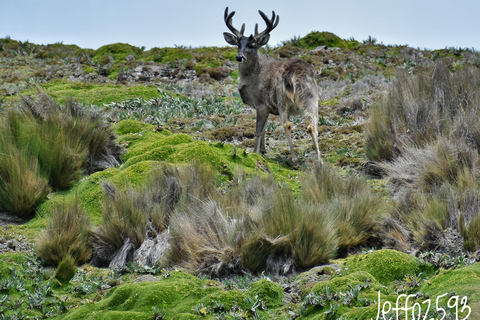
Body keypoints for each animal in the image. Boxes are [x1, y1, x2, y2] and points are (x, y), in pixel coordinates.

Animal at [223, 6, 320, 162]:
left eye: (252, 45)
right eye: (238, 44)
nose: (239, 57)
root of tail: (292, 73)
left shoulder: (262, 103)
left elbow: (258, 130)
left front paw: (255, 152)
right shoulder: (268, 106)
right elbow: (264, 129)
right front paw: (263, 150)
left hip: (282, 99)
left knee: (287, 125)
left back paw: (294, 159)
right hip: (312, 97)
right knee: (313, 126)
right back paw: (319, 161)